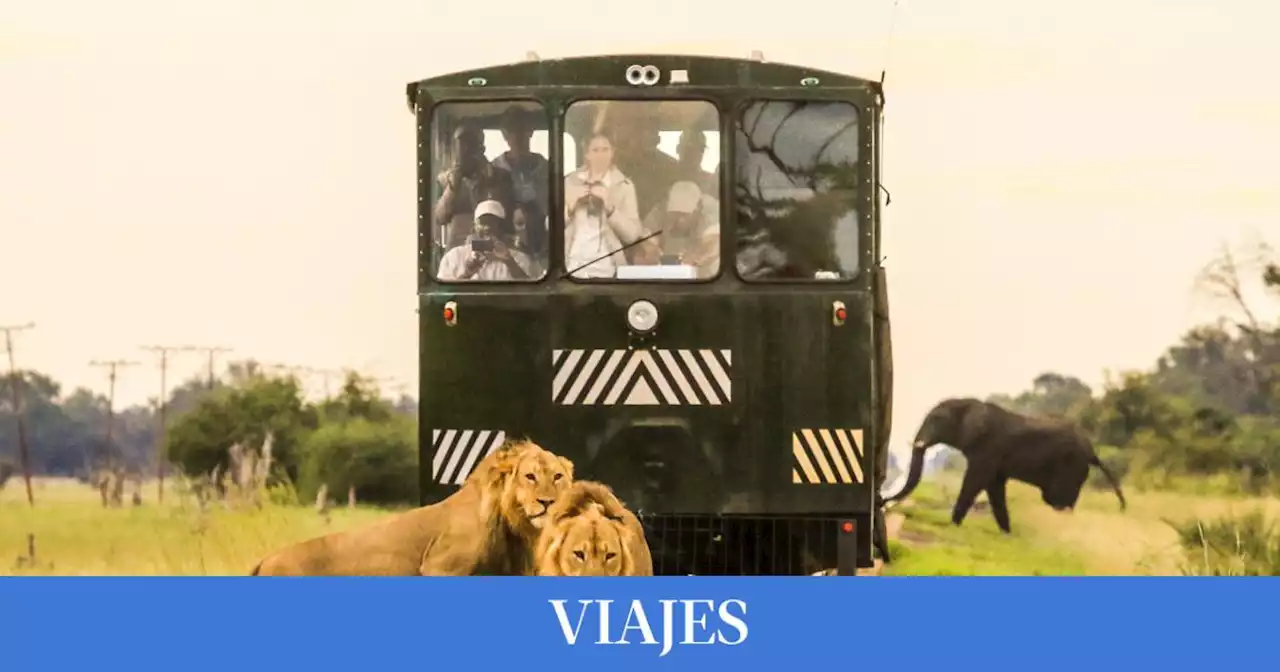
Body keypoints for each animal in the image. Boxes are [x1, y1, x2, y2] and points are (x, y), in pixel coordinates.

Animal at [885, 399, 1126, 535]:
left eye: (937, 419)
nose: (885, 502)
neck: (972, 404)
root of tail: (1093, 452)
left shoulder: (988, 448)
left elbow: (975, 481)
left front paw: (952, 526)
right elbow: (994, 488)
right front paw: (1007, 534)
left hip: (1070, 468)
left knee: (1057, 500)